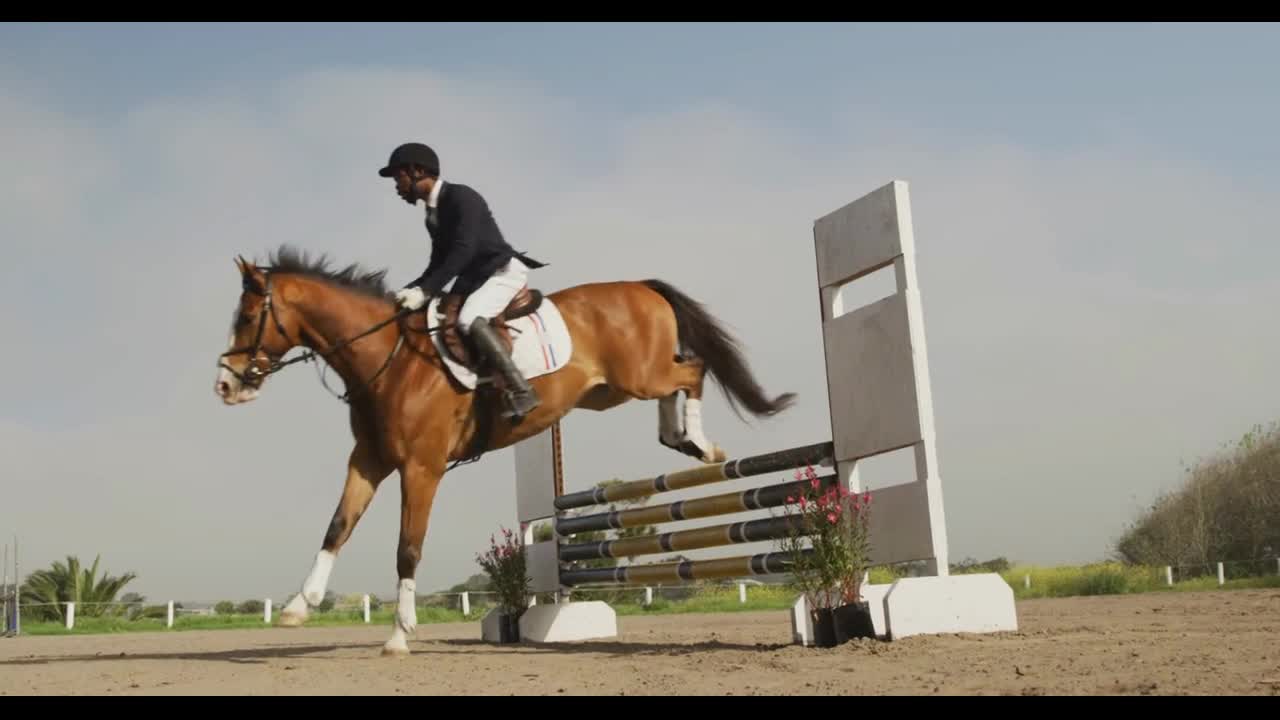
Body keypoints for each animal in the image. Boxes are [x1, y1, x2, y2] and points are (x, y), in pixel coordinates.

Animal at [215, 243, 793, 653]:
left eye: (245, 318)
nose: (224, 385)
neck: (387, 358)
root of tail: (640, 286)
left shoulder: (421, 468)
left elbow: (407, 547)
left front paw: (400, 635)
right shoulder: (370, 462)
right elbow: (337, 528)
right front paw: (297, 608)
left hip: (640, 375)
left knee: (693, 369)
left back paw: (699, 444)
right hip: (610, 391)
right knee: (683, 375)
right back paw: (682, 439)